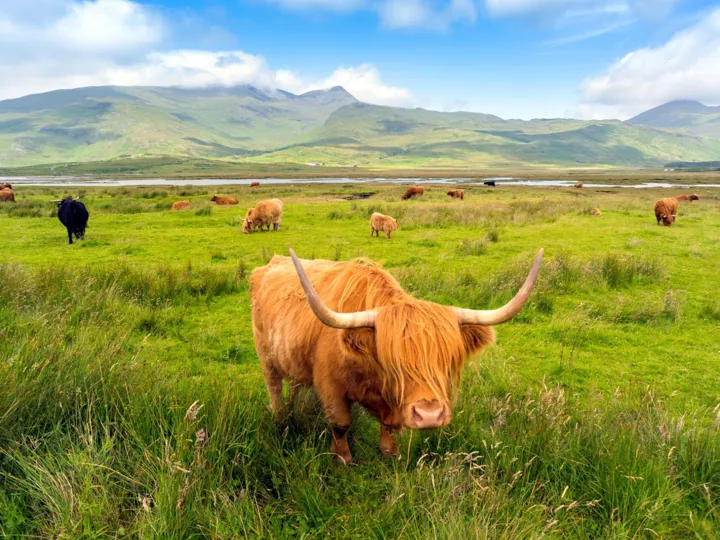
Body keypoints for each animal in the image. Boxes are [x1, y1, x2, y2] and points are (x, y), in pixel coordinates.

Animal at [250, 248, 543, 463]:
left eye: (446, 359)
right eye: (393, 362)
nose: (429, 415)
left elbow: (388, 424)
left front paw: (390, 453)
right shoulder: (330, 385)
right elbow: (341, 424)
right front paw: (343, 459)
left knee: (295, 385)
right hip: (265, 355)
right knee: (274, 386)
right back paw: (281, 417)